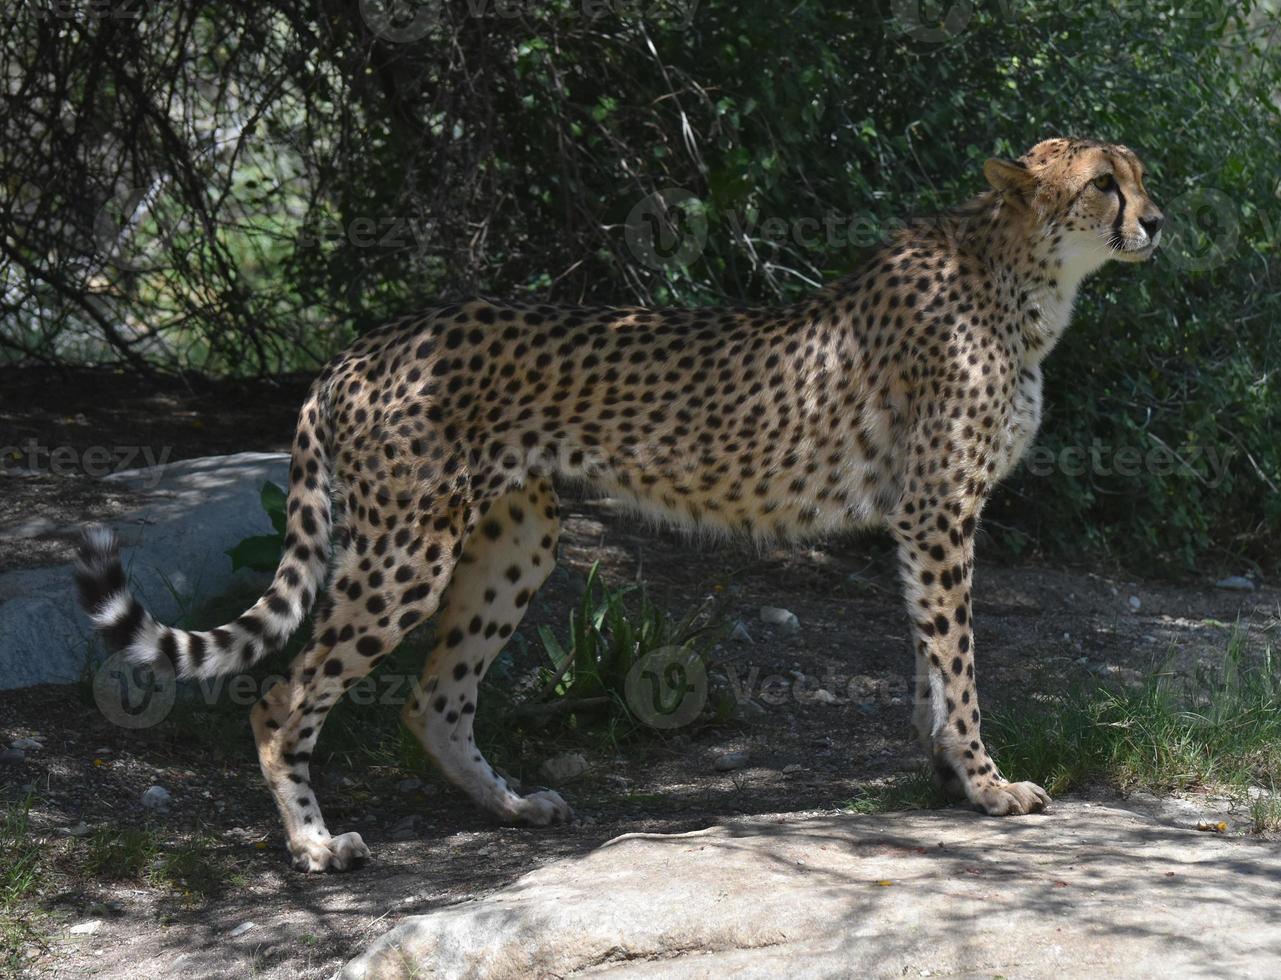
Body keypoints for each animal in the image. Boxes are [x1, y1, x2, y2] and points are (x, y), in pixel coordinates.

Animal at [74, 135, 1168, 871]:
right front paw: (987, 783)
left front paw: (947, 774)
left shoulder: (920, 518)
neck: (1021, 278)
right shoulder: (940, 512)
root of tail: (364, 345)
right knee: (280, 694)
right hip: (405, 550)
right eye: (1102, 183)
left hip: (514, 539)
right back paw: (312, 843)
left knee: (434, 696)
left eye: (1141, 174)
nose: (1156, 221)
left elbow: (930, 662)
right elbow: (960, 660)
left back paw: (512, 808)